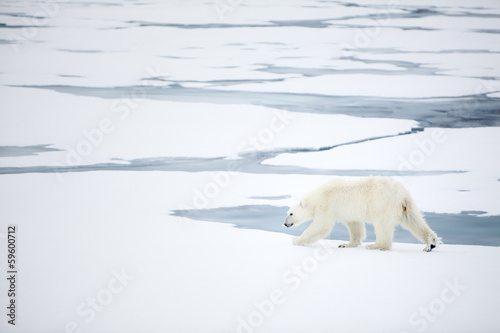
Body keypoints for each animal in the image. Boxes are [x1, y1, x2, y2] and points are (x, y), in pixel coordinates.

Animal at [284, 175, 440, 250]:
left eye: (290, 213)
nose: (285, 224)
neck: (319, 195)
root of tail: (401, 194)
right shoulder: (347, 211)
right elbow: (355, 226)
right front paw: (346, 244)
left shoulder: (327, 205)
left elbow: (320, 226)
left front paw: (296, 240)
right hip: (406, 205)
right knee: (414, 220)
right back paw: (430, 243)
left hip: (383, 203)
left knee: (382, 225)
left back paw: (376, 245)